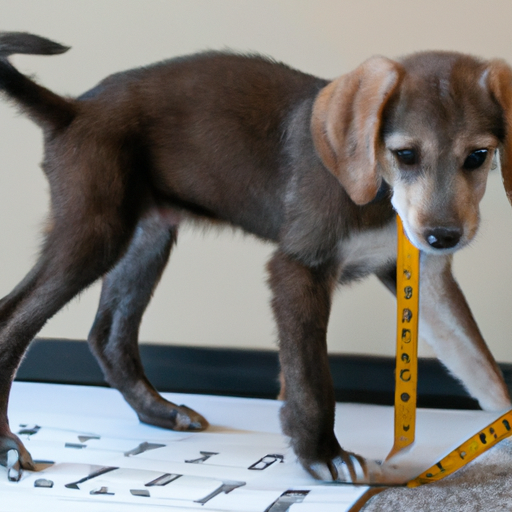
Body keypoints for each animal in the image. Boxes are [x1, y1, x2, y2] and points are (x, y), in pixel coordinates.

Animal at [1, 33, 512, 484]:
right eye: (405, 154)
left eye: (478, 156)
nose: (444, 237)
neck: (378, 191)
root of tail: (73, 110)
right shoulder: (298, 268)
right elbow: (310, 376)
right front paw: (322, 455)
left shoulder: (424, 277)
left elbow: (481, 367)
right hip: (94, 232)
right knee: (14, 323)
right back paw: (9, 444)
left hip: (147, 236)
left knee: (108, 336)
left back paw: (161, 412)